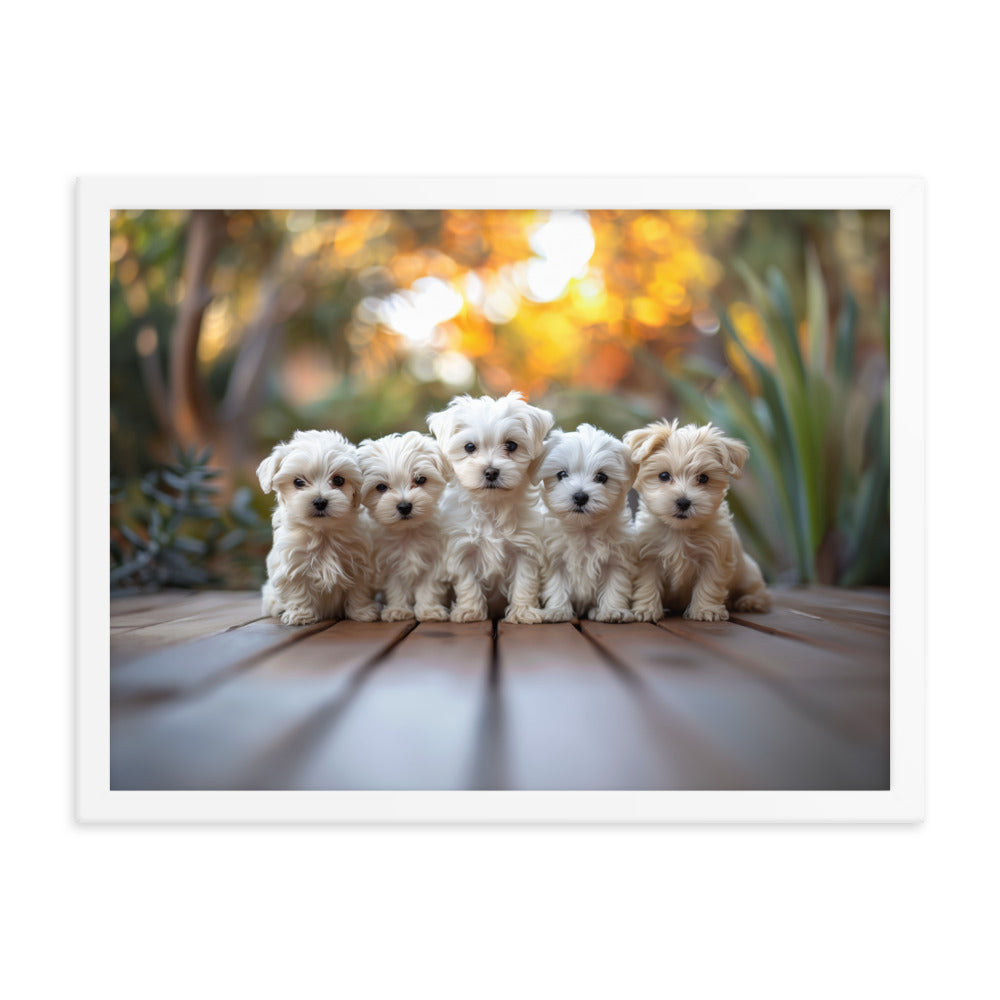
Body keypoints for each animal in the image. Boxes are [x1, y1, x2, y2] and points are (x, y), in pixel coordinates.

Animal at [256, 430, 380, 624]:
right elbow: (297, 590)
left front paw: (362, 612)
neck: (323, 532)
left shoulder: (359, 563)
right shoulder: (293, 565)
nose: (320, 501)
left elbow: (358, 590)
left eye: (338, 480)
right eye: (298, 482)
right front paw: (300, 614)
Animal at [358, 432, 452, 620]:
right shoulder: (389, 564)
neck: (408, 532)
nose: (404, 506)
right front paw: (398, 610)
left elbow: (428, 587)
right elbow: (396, 588)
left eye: (421, 479)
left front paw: (429, 610)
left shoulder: (433, 561)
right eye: (381, 487)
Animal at [426, 392, 556, 620]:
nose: (491, 472)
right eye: (469, 447)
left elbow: (524, 582)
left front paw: (523, 612)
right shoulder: (462, 548)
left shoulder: (525, 548)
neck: (492, 506)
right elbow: (468, 583)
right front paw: (470, 611)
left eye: (511, 445)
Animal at [536, 424, 636, 624]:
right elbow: (556, 585)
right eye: (562, 474)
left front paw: (613, 610)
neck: (584, 529)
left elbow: (616, 584)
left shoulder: (616, 559)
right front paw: (557, 610)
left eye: (601, 477)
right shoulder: (554, 558)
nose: (580, 496)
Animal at [624, 418, 772, 620]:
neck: (680, 531)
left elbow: (709, 584)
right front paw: (645, 609)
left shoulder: (714, 556)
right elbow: (647, 583)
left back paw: (749, 601)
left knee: (760, 592)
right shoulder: (648, 557)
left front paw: (705, 610)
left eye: (703, 478)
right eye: (664, 475)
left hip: (748, 573)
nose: (683, 502)